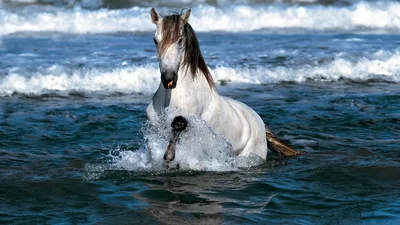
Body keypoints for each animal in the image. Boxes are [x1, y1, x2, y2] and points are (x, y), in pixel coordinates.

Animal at [145, 8, 298, 160]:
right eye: (155, 40)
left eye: (180, 40)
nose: (168, 78)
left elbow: (178, 125)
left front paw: (169, 156)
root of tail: (260, 123)